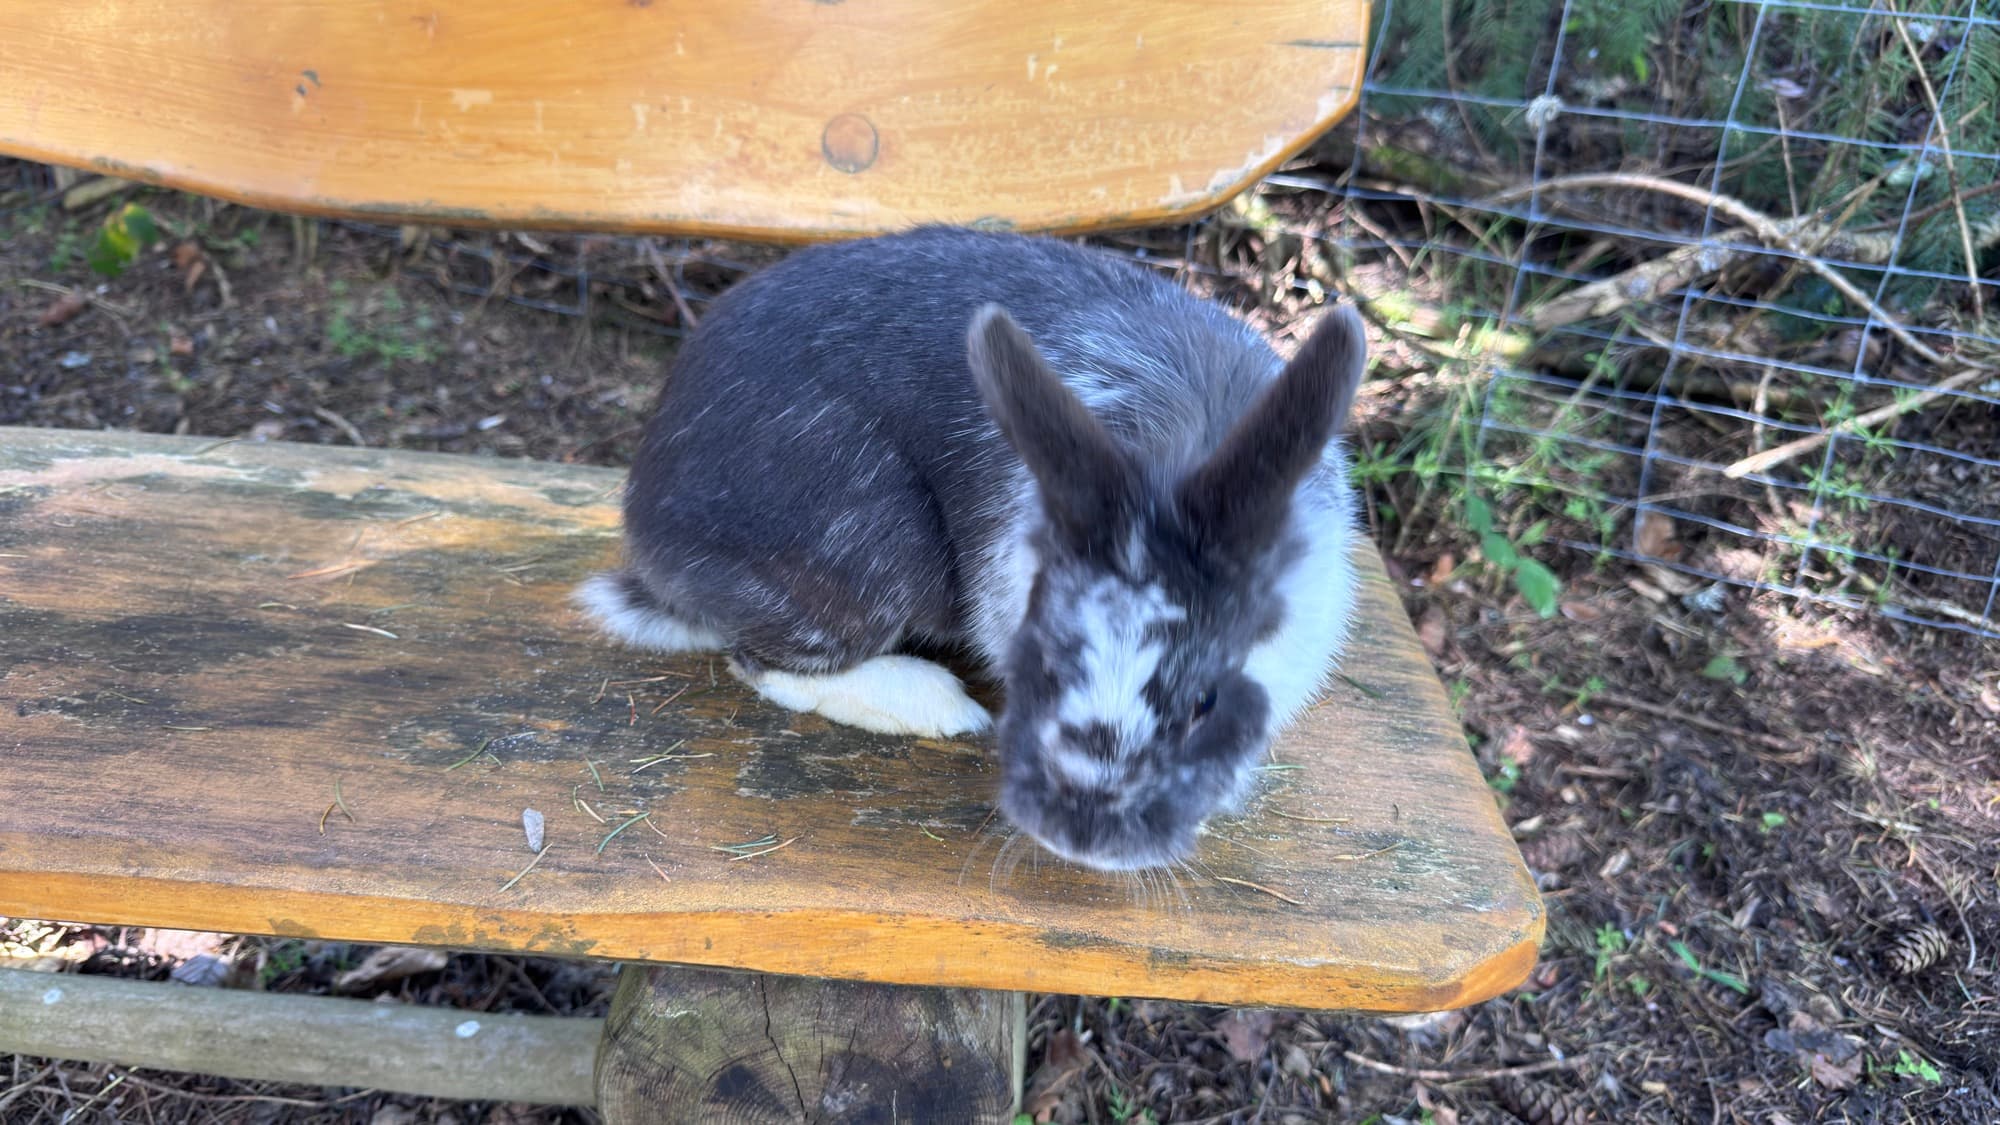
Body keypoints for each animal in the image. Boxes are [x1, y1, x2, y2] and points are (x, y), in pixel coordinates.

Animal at [575, 226, 1367, 872]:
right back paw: (937, 705)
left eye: (1207, 701)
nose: (1080, 837)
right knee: (764, 663)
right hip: (868, 559)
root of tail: (648, 519)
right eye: (1046, 664)